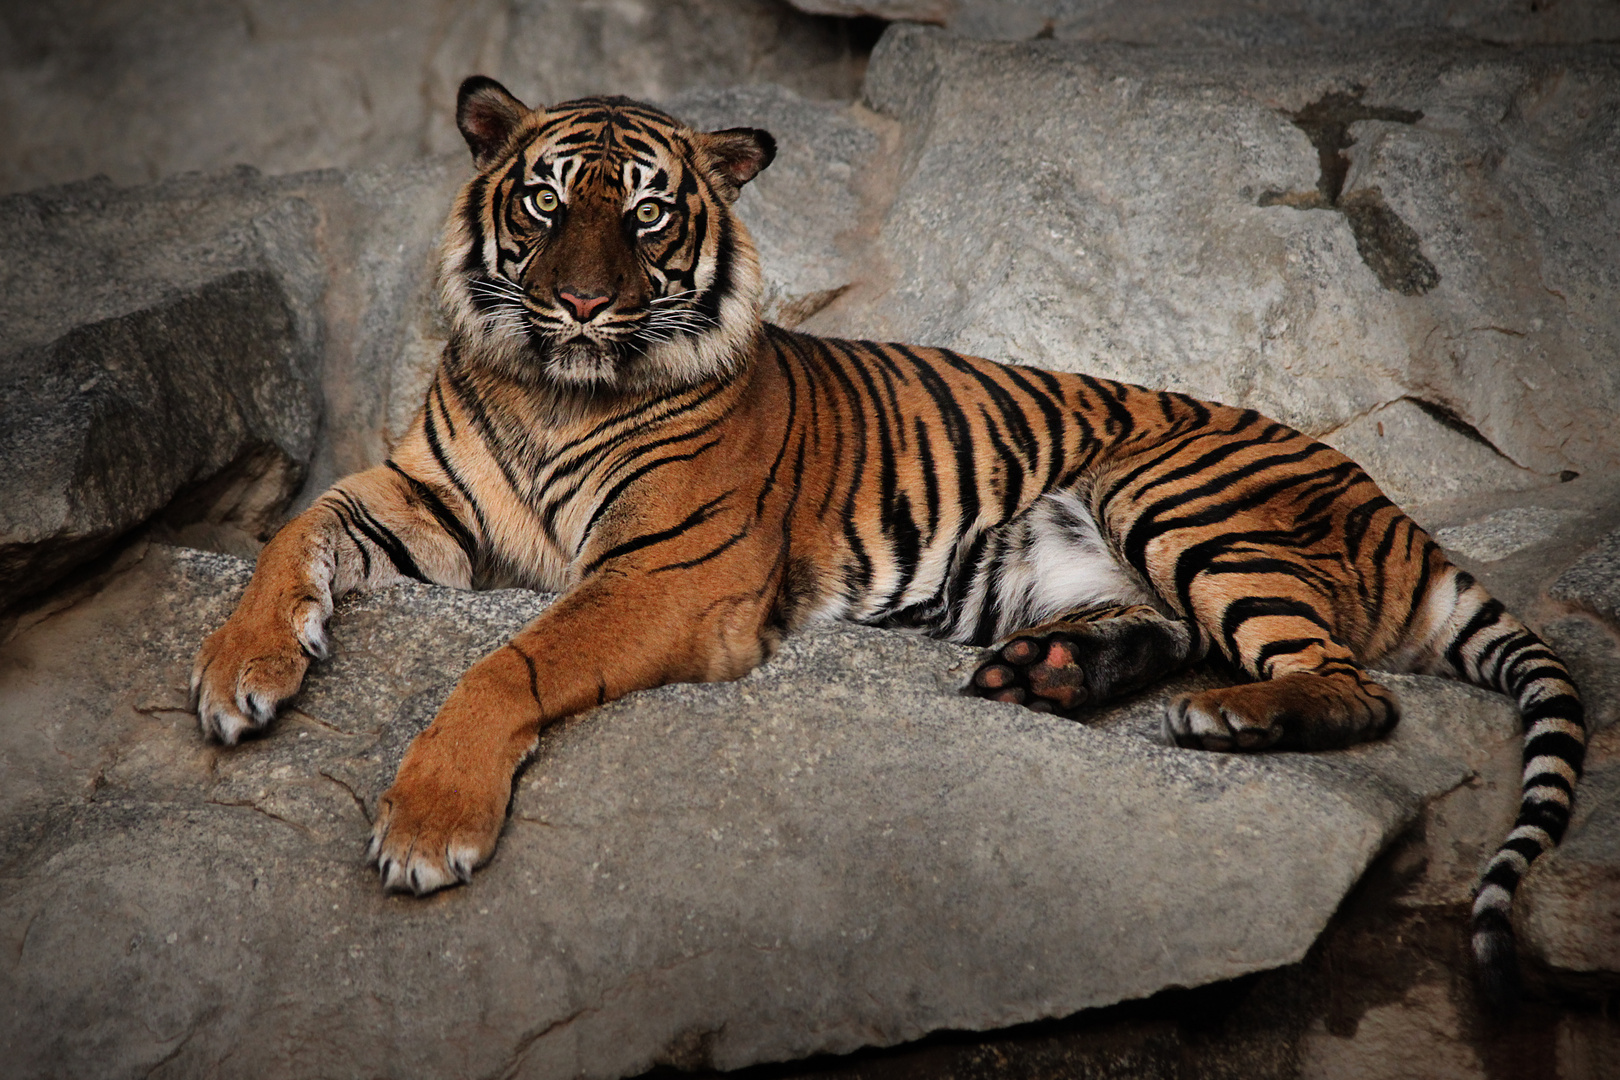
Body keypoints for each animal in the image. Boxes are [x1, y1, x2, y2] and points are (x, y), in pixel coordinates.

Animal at [186, 76, 1581, 1003]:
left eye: (646, 218)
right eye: (544, 199)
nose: (577, 303)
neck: (552, 388)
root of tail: (1392, 505)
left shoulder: (668, 570)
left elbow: (508, 662)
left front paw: (428, 825)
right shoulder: (426, 504)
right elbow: (291, 531)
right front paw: (239, 674)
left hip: (1175, 490)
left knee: (1347, 686)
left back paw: (1225, 719)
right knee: (1181, 633)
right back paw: (1049, 675)